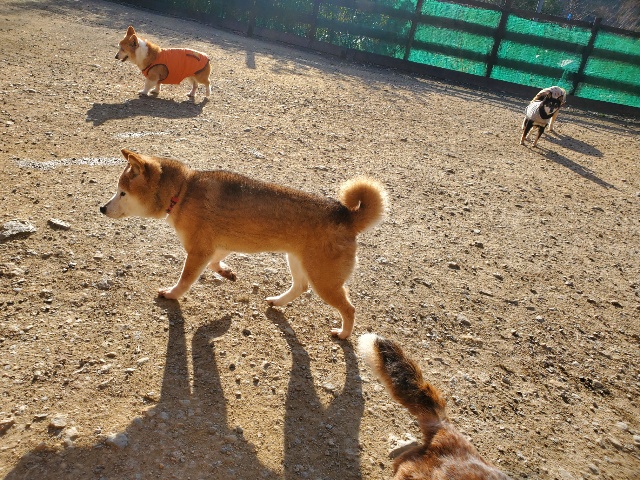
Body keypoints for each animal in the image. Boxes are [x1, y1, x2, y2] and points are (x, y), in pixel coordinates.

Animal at [100, 149, 387, 339]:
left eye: (122, 193)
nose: (102, 208)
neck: (182, 191)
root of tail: (347, 215)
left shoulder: (198, 251)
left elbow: (185, 279)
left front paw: (171, 294)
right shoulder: (219, 245)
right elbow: (216, 264)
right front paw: (227, 273)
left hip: (324, 279)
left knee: (349, 308)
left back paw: (343, 333)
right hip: (297, 261)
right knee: (300, 287)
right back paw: (278, 301)